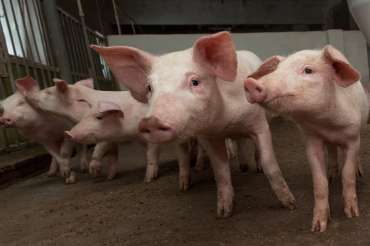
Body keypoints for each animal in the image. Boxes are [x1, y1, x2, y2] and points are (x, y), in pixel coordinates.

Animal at [91, 31, 296, 217]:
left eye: (195, 81)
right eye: (149, 88)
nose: (151, 121)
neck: (225, 121)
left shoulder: (259, 124)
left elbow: (270, 164)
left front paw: (290, 204)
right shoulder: (208, 136)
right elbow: (221, 171)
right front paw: (223, 213)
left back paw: (252, 168)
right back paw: (188, 184)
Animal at [244, 45, 368, 232]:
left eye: (308, 70)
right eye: (277, 69)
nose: (250, 83)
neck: (327, 124)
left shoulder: (352, 138)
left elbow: (347, 174)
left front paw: (352, 214)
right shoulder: (311, 139)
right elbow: (319, 182)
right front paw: (317, 227)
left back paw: (357, 171)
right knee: (332, 151)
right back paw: (332, 174)